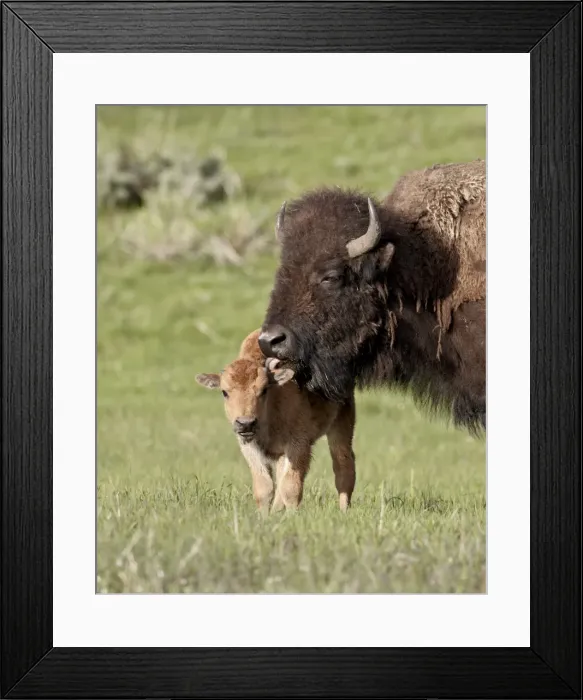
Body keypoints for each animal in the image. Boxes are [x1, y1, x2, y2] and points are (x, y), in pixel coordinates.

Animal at [196, 330, 356, 513]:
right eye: (224, 392)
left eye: (264, 390)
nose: (246, 423)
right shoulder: (250, 447)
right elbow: (265, 488)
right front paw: (264, 516)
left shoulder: (298, 445)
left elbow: (291, 487)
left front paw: (292, 516)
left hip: (341, 423)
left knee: (343, 466)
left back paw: (343, 511)